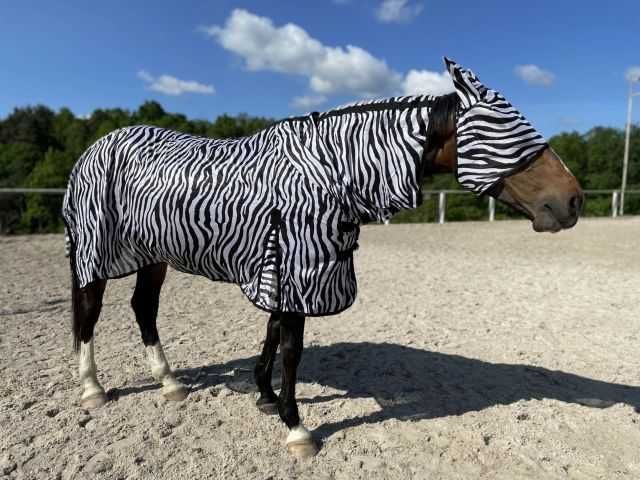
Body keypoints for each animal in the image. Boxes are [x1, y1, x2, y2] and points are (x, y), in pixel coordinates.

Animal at [62, 58, 582, 457]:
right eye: (511, 131)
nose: (572, 200)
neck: (329, 172)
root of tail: (93, 148)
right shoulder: (295, 266)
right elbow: (292, 348)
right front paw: (296, 428)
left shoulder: (282, 270)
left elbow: (272, 334)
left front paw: (266, 396)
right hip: (96, 251)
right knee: (90, 312)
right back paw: (92, 390)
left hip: (153, 255)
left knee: (143, 309)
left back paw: (169, 383)